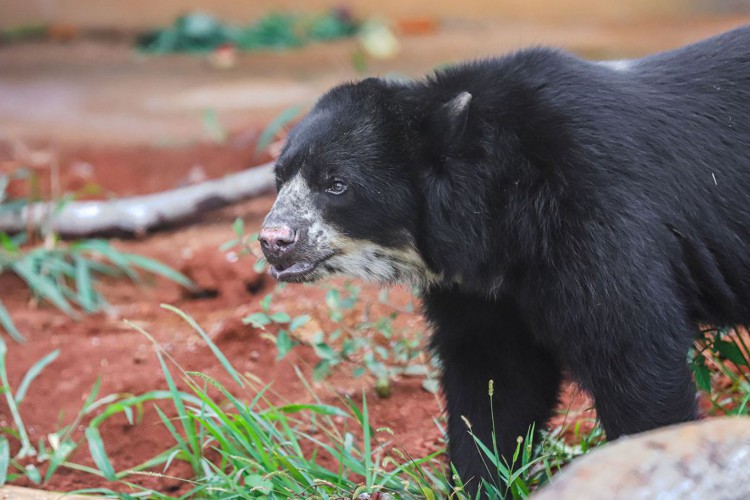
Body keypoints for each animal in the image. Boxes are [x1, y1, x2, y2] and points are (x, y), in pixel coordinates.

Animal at [258, 25, 750, 494]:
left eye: (336, 184)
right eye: (280, 178)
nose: (273, 240)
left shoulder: (598, 215)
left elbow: (632, 351)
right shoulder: (479, 290)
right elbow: (496, 383)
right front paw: (480, 481)